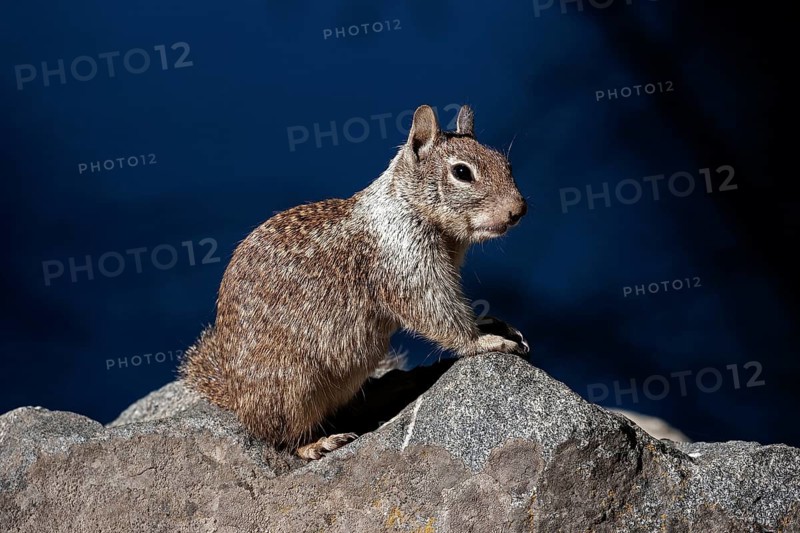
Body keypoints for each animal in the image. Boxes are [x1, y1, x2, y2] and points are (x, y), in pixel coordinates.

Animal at [179, 104, 529, 460]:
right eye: (461, 172)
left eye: (506, 163)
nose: (519, 210)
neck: (409, 205)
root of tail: (236, 401)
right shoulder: (407, 266)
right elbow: (436, 313)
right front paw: (485, 341)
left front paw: (488, 322)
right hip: (293, 387)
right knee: (283, 439)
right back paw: (319, 442)